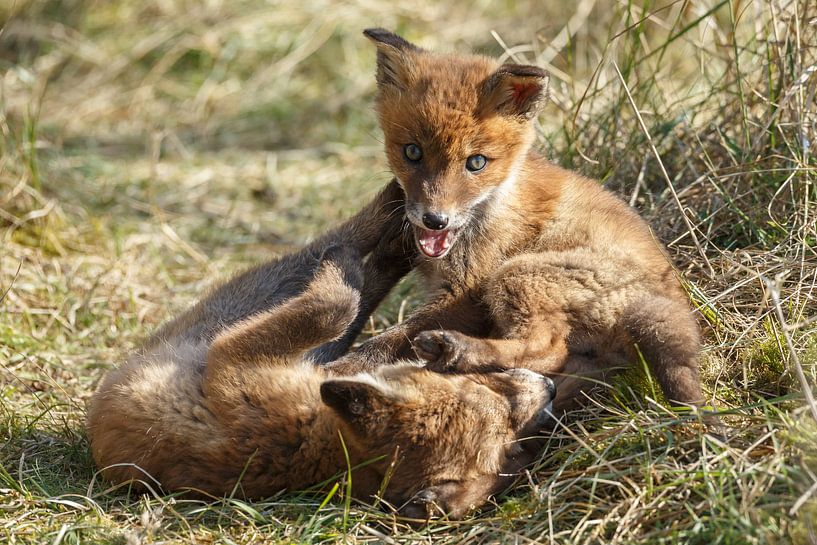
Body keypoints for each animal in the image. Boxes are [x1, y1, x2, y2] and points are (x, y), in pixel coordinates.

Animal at [86, 181, 556, 516]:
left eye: (518, 443)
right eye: (485, 386)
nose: (550, 389)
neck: (320, 443)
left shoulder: (233, 361)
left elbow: (337, 306)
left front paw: (350, 263)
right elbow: (345, 309)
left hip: (247, 301)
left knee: (338, 254)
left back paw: (380, 232)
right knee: (355, 281)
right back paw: (393, 233)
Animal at [328, 26, 704, 408]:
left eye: (476, 162)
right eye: (413, 152)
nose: (435, 220)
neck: (495, 204)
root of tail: (670, 298)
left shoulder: (468, 294)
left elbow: (388, 339)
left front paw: (338, 368)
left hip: (517, 273)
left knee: (547, 348)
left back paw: (458, 351)